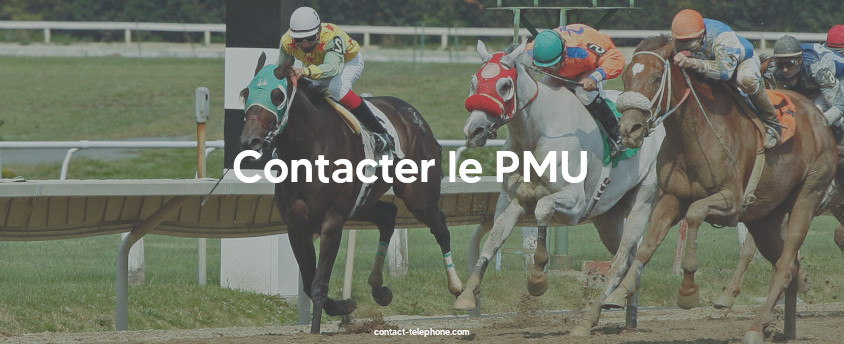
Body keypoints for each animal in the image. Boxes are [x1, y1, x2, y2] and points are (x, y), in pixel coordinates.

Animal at [237, 53, 462, 334]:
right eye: (246, 92)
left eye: (277, 95)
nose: (250, 141)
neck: (309, 147)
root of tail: (413, 115)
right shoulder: (296, 225)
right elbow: (308, 282)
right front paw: (343, 306)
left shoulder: (332, 222)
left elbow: (318, 283)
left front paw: (317, 329)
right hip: (363, 202)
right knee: (388, 215)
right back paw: (379, 288)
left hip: (418, 197)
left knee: (440, 225)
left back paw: (459, 289)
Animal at [454, 39, 664, 334]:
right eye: (474, 81)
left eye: (504, 85)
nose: (473, 131)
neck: (537, 133)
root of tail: (654, 121)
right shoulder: (514, 200)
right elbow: (493, 240)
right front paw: (466, 294)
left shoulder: (575, 204)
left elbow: (543, 209)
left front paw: (538, 276)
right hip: (608, 218)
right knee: (631, 256)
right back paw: (626, 311)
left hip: (642, 199)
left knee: (622, 259)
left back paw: (590, 319)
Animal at [604, 36, 836, 342]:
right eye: (627, 77)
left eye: (655, 78)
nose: (629, 129)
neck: (695, 134)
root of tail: (820, 120)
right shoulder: (670, 198)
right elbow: (646, 246)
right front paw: (618, 293)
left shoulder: (732, 202)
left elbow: (694, 213)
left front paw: (688, 291)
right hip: (765, 218)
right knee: (788, 264)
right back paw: (780, 324)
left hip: (807, 197)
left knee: (786, 265)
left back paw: (754, 327)